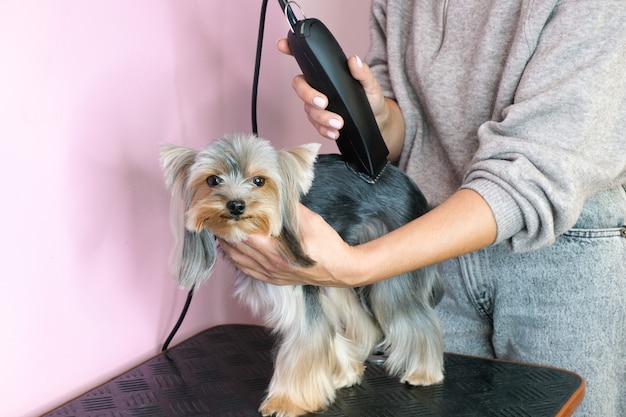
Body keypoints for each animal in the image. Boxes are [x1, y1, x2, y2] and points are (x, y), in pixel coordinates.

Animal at [161, 133, 444, 416]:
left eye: (259, 181)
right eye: (213, 180)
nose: (236, 205)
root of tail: (401, 178)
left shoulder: (299, 283)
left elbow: (306, 341)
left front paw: (286, 402)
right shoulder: (312, 289)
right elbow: (325, 331)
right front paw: (344, 375)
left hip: (394, 262)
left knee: (414, 316)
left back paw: (423, 372)